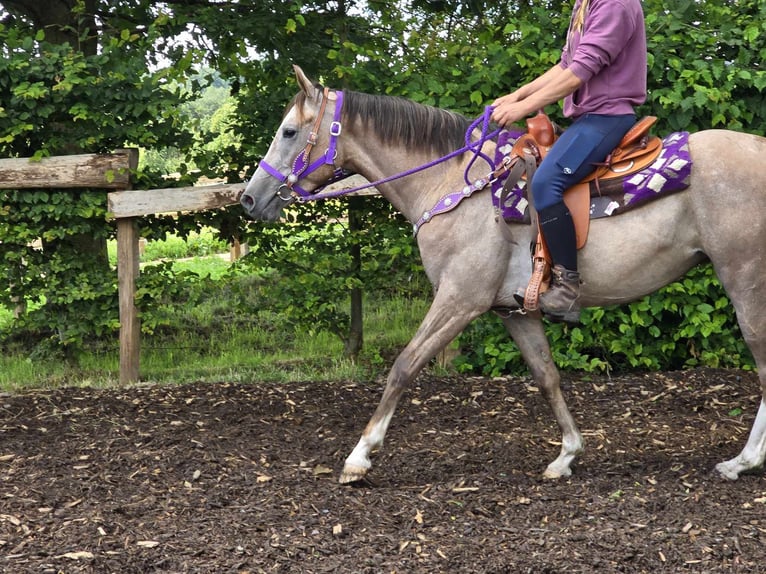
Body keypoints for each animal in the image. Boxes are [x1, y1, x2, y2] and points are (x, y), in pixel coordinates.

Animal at [240, 66, 766, 486]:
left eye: (289, 132)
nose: (249, 198)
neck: (453, 186)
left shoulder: (459, 299)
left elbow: (404, 367)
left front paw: (359, 456)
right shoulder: (513, 310)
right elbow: (547, 376)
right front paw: (567, 456)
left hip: (745, 283)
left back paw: (742, 461)